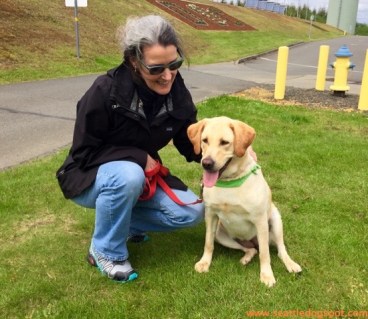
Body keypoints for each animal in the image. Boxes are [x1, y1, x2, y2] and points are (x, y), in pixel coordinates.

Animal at [188, 117, 300, 288]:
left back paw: (291, 264)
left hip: (275, 221)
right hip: (221, 234)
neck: (229, 182)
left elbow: (265, 254)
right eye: (204, 140)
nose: (206, 163)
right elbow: (208, 243)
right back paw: (246, 257)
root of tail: (252, 242)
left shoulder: (260, 221)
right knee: (252, 250)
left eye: (224, 142)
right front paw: (204, 263)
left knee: (279, 249)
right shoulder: (211, 215)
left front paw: (267, 275)